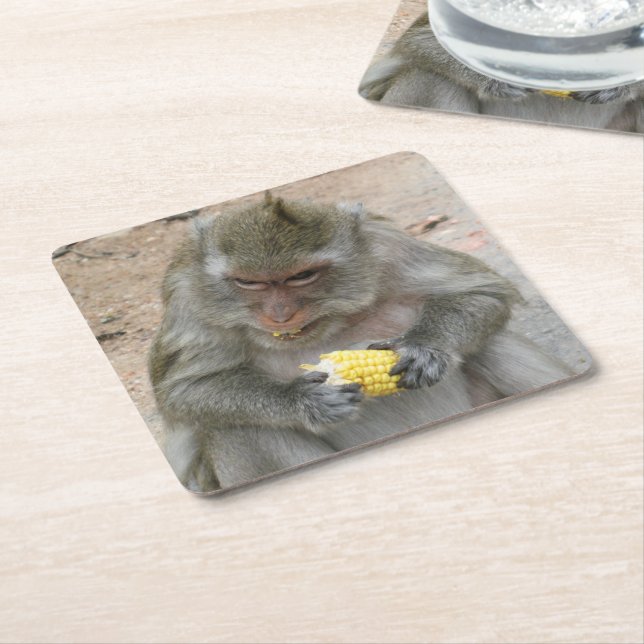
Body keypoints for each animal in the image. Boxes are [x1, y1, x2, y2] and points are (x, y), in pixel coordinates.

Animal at [149, 192, 573, 493]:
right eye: (248, 282)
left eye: (302, 276)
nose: (281, 315)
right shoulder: (187, 296)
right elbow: (186, 391)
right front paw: (301, 400)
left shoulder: (387, 245)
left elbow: (484, 291)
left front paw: (424, 348)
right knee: (232, 428)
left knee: (490, 344)